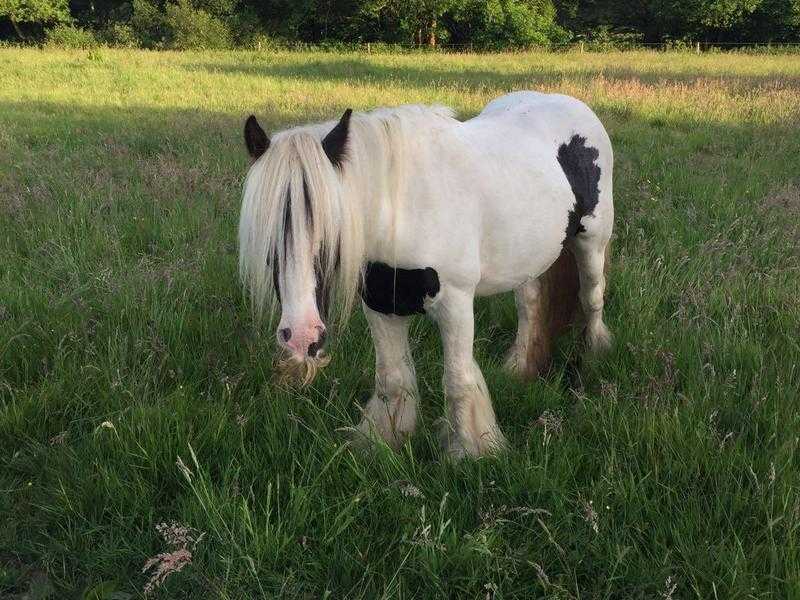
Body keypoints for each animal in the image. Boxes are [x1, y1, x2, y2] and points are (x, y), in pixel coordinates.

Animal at [238, 91, 612, 458]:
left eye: (334, 229)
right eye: (266, 238)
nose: (302, 337)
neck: (406, 209)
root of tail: (569, 102)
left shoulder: (456, 306)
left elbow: (458, 381)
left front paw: (470, 453)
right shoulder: (381, 306)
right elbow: (392, 380)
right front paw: (384, 442)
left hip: (591, 244)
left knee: (592, 298)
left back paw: (591, 359)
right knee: (530, 306)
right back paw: (519, 368)